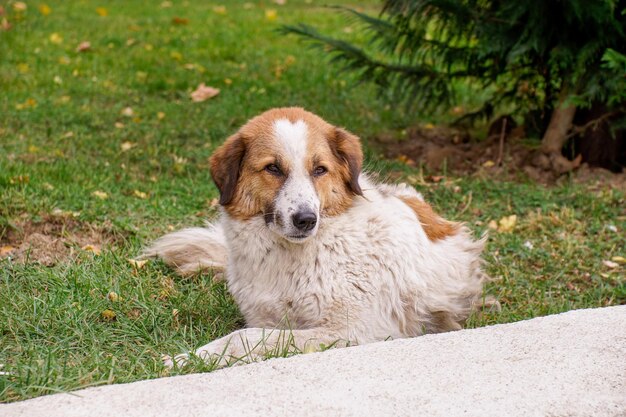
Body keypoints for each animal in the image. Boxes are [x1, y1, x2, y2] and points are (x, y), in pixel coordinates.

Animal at [144, 107, 490, 368]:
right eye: (273, 168)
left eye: (320, 170)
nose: (306, 219)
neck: (293, 260)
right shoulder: (267, 316)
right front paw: (194, 357)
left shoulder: (355, 330)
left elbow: (249, 337)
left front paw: (193, 359)